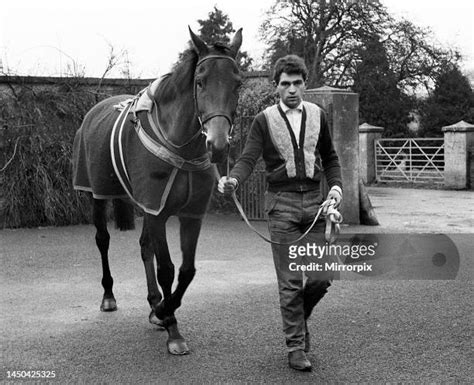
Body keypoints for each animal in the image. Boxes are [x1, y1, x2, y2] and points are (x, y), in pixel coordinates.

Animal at [72, 27, 243, 354]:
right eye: (200, 81)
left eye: (238, 83)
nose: (217, 146)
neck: (180, 145)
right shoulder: (157, 211)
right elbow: (167, 268)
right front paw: (171, 325)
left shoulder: (187, 214)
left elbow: (187, 270)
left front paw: (163, 310)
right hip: (97, 195)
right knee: (103, 240)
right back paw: (109, 296)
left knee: (144, 247)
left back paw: (153, 304)